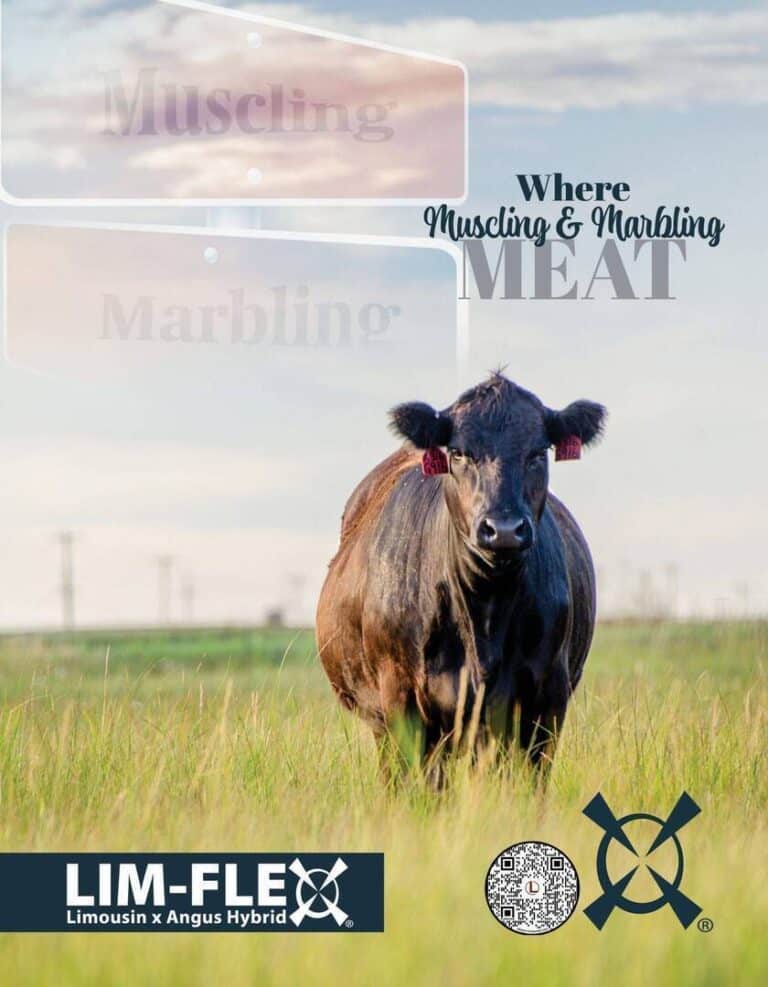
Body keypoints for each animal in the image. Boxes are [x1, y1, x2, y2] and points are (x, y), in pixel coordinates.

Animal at [316, 372, 606, 781]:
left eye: (538, 452)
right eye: (458, 452)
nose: (503, 529)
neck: (484, 610)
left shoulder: (546, 698)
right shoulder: (401, 699)